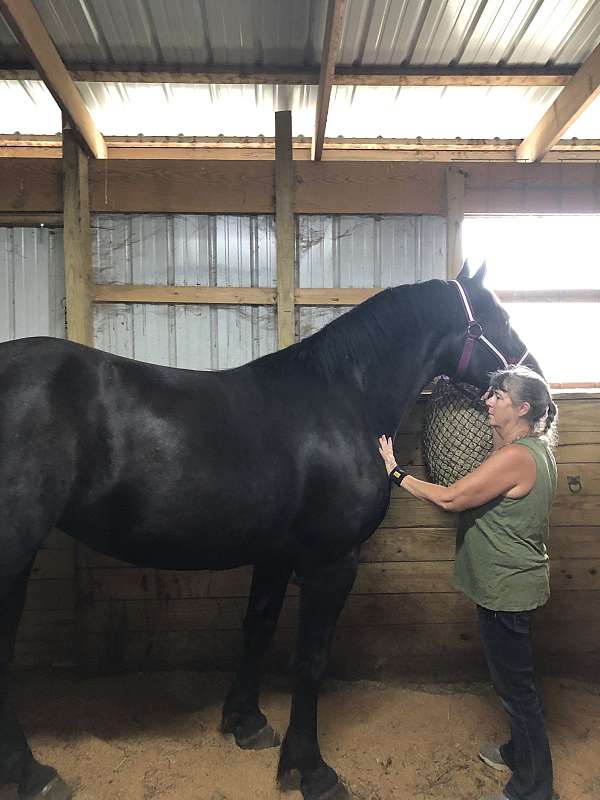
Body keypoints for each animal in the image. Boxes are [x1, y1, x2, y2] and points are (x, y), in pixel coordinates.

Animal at [1, 264, 540, 800]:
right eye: (499, 318)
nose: (540, 391)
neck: (345, 399)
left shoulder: (276, 554)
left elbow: (257, 630)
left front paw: (247, 723)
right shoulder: (332, 561)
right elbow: (311, 659)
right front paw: (312, 771)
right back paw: (33, 775)